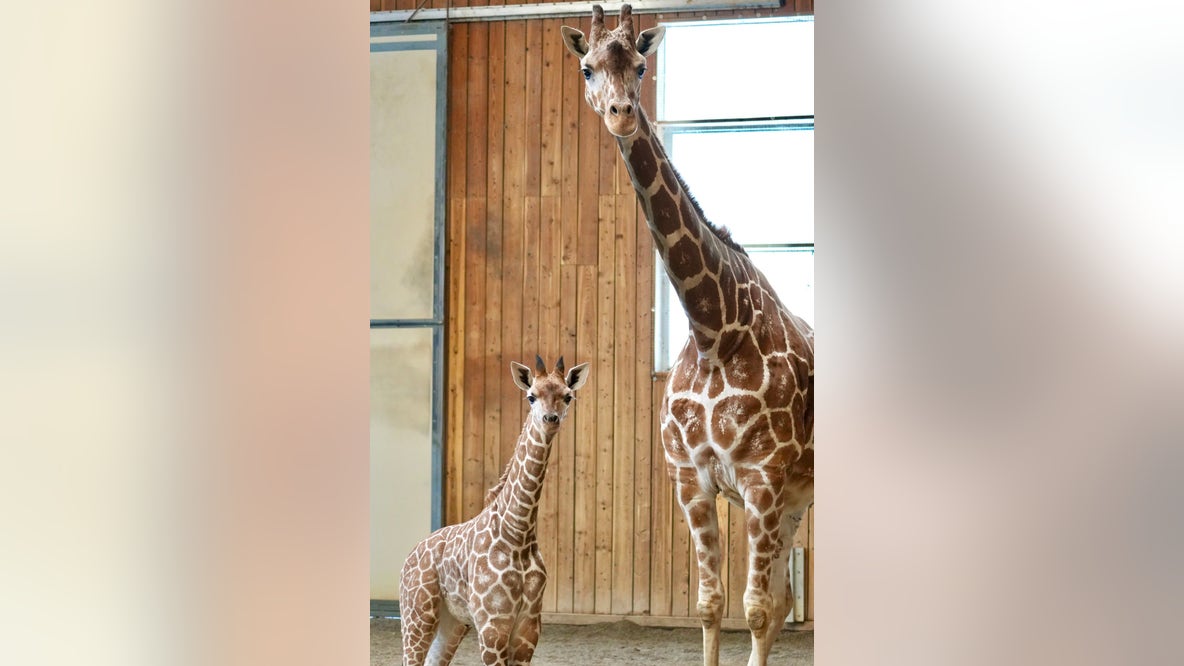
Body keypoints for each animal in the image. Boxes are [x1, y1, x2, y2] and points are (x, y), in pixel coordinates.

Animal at [399, 357, 590, 665]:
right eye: (531, 396)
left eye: (567, 396)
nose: (551, 419)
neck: (518, 534)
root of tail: (409, 555)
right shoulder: (492, 625)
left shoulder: (528, 627)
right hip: (417, 615)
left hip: (452, 621)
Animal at [561, 6, 814, 666]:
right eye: (587, 66)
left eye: (641, 64)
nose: (621, 113)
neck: (714, 331)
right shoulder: (691, 481)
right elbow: (712, 605)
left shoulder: (761, 479)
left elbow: (754, 609)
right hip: (796, 498)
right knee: (783, 600)